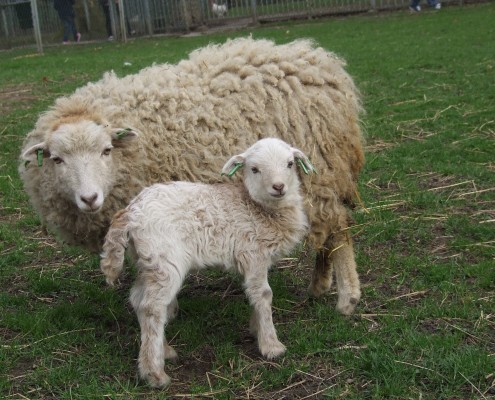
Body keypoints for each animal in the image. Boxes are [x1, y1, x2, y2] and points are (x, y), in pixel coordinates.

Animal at [18, 36, 364, 316]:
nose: (89, 198)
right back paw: (319, 286)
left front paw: (166, 308)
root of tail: (318, 61)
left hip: (321, 170)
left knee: (338, 228)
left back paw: (347, 297)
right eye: (57, 159)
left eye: (106, 150)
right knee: (325, 232)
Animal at [101, 138, 316, 388]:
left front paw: (256, 329)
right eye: (254, 169)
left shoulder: (255, 260)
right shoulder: (253, 253)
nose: (279, 187)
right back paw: (154, 373)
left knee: (138, 299)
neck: (256, 207)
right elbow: (263, 295)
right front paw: (271, 345)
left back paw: (164, 351)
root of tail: (130, 212)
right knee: (152, 307)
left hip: (147, 261)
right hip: (165, 260)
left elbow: (255, 294)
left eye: (290, 163)